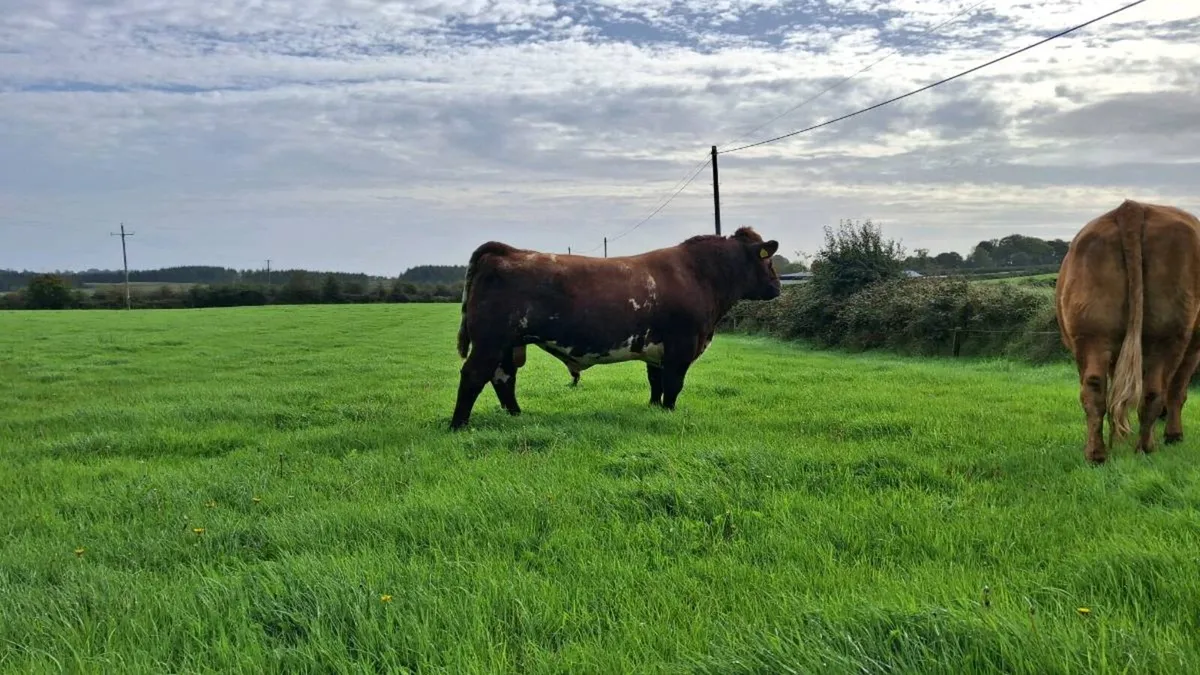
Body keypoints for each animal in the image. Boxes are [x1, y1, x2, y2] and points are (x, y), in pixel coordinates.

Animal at [450, 226, 782, 429]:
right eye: (768, 261)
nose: (778, 287)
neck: (699, 274)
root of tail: (507, 251)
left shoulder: (657, 350)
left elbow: (656, 383)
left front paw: (654, 409)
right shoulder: (682, 345)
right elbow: (673, 385)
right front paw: (668, 413)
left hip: (507, 344)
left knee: (503, 377)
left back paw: (517, 416)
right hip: (490, 341)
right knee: (474, 375)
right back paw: (459, 425)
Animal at [1055, 199, 1200, 464]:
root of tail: (1133, 208)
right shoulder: (1194, 347)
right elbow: (1178, 390)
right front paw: (1174, 435)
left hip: (1091, 333)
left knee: (1095, 388)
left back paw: (1096, 453)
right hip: (1168, 336)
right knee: (1155, 391)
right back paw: (1145, 447)